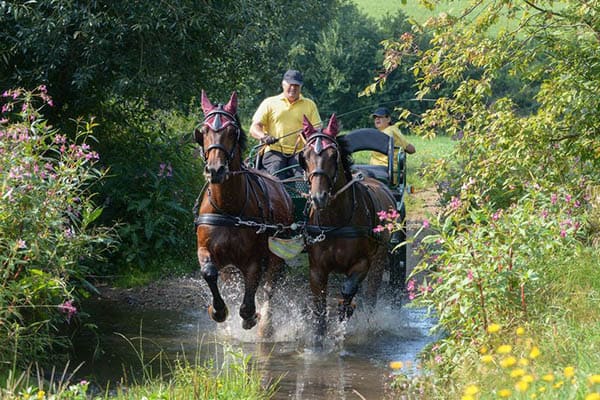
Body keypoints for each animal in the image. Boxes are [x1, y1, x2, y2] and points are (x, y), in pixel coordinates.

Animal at [193, 91, 294, 338]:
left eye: (232, 131)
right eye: (204, 131)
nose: (215, 170)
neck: (229, 208)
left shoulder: (254, 260)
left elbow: (251, 291)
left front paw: (250, 317)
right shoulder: (206, 250)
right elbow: (209, 273)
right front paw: (218, 311)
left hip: (278, 251)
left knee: (268, 287)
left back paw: (266, 325)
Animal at [298, 114, 396, 342]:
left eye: (333, 155)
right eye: (305, 156)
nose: (319, 197)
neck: (335, 221)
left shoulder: (362, 263)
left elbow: (348, 288)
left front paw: (345, 315)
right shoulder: (316, 268)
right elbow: (319, 304)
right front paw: (318, 337)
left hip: (380, 257)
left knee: (370, 293)